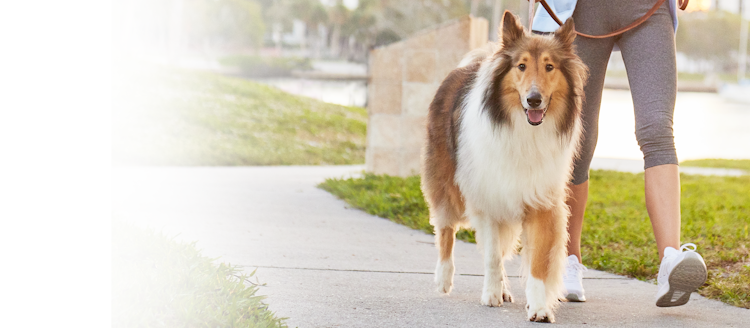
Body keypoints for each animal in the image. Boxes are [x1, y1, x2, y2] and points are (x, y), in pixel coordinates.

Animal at [424, 10, 588, 322]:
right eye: (521, 66)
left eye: (549, 66)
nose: (534, 100)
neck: (523, 129)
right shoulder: (487, 196)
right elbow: (491, 255)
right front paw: (490, 295)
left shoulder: (541, 201)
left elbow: (537, 263)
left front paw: (538, 307)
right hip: (447, 182)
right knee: (446, 228)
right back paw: (443, 278)